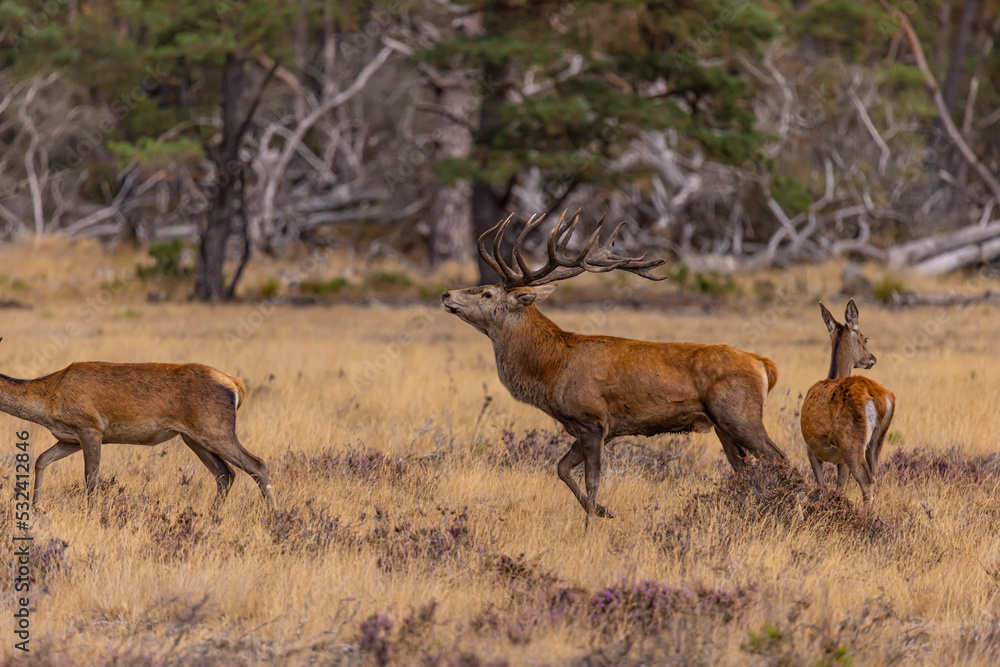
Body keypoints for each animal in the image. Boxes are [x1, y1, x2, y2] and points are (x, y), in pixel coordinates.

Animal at [0, 344, 276, 511]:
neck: (49, 399)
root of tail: (236, 384)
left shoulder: (91, 427)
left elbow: (91, 478)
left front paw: (92, 514)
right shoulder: (70, 439)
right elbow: (41, 460)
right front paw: (36, 508)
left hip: (216, 429)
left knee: (256, 464)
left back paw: (273, 516)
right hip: (193, 437)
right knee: (225, 473)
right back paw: (212, 515)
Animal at [441, 210, 787, 523]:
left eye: (487, 293)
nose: (446, 294)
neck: (552, 370)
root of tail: (764, 364)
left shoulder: (591, 419)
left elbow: (591, 480)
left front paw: (590, 526)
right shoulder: (599, 427)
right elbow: (561, 468)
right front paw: (605, 512)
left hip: (739, 414)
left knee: (778, 459)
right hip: (722, 425)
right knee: (743, 470)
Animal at [799, 300, 895, 505]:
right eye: (865, 339)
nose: (873, 359)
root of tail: (878, 396)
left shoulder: (811, 449)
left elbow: (822, 487)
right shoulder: (838, 460)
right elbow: (839, 488)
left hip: (851, 441)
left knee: (866, 481)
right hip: (877, 439)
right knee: (874, 477)